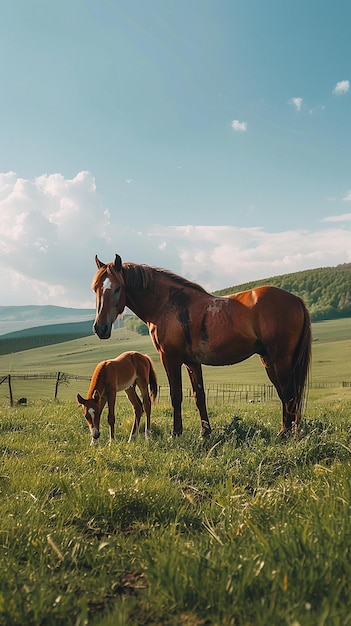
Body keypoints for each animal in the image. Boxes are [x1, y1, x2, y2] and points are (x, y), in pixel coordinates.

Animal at [92, 254, 312, 434]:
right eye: (96, 289)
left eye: (117, 288)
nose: (100, 328)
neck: (166, 304)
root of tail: (296, 299)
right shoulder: (192, 362)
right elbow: (199, 396)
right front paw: (205, 433)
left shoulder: (170, 359)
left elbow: (176, 396)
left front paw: (176, 433)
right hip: (269, 360)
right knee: (286, 394)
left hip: (280, 359)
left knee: (289, 393)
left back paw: (287, 434)